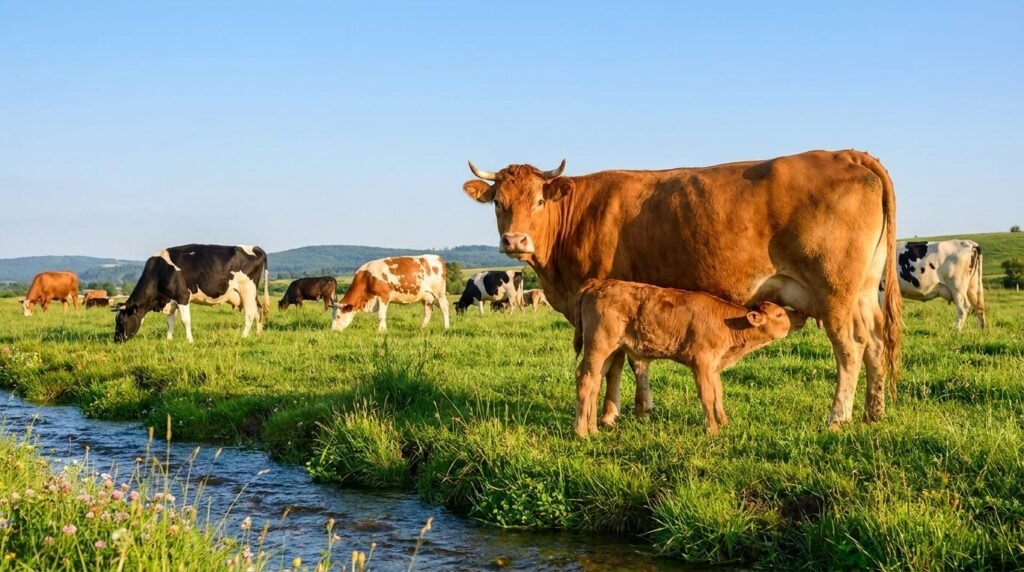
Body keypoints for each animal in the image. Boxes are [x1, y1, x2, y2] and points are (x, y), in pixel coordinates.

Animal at [114, 244, 270, 343]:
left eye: (121, 321)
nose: (116, 340)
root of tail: (256, 248)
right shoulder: (171, 299)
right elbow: (170, 321)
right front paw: (169, 340)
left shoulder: (182, 296)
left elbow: (185, 321)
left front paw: (189, 340)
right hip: (252, 294)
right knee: (258, 311)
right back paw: (257, 335)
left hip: (247, 290)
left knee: (250, 314)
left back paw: (243, 337)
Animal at [573, 279, 807, 436]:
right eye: (779, 314)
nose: (801, 314)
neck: (727, 324)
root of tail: (597, 284)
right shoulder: (701, 362)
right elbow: (707, 395)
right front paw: (713, 430)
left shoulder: (713, 365)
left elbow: (718, 393)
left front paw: (724, 422)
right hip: (598, 345)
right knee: (585, 380)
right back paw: (582, 432)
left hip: (609, 351)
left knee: (595, 383)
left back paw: (593, 429)